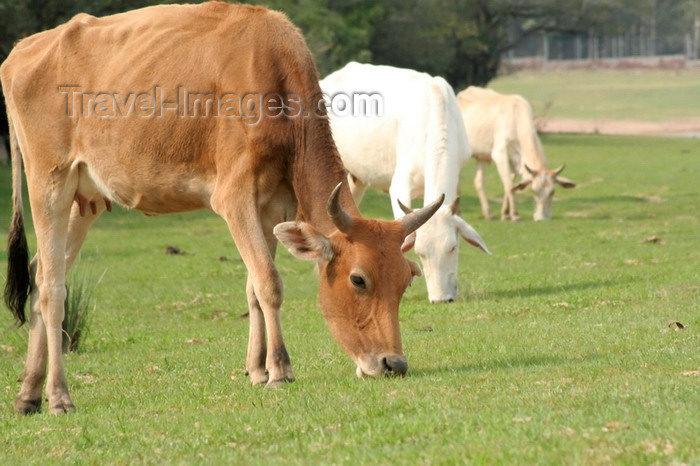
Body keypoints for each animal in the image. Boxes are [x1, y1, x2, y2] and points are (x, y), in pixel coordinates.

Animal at [1, 0, 442, 416]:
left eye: (407, 280)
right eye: (358, 280)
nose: (393, 363)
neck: (273, 75)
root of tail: (22, 52)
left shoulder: (272, 206)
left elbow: (253, 286)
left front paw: (258, 369)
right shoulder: (234, 197)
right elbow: (269, 282)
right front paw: (281, 370)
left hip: (85, 199)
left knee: (40, 272)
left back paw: (29, 393)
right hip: (49, 183)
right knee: (52, 289)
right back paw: (59, 396)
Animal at [456, 86, 576, 222]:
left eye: (552, 192)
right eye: (533, 191)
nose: (542, 218)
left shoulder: (514, 161)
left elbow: (511, 185)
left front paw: (505, 214)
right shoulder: (500, 155)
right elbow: (509, 185)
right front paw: (515, 214)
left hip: (482, 157)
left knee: (478, 182)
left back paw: (488, 214)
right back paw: (458, 211)